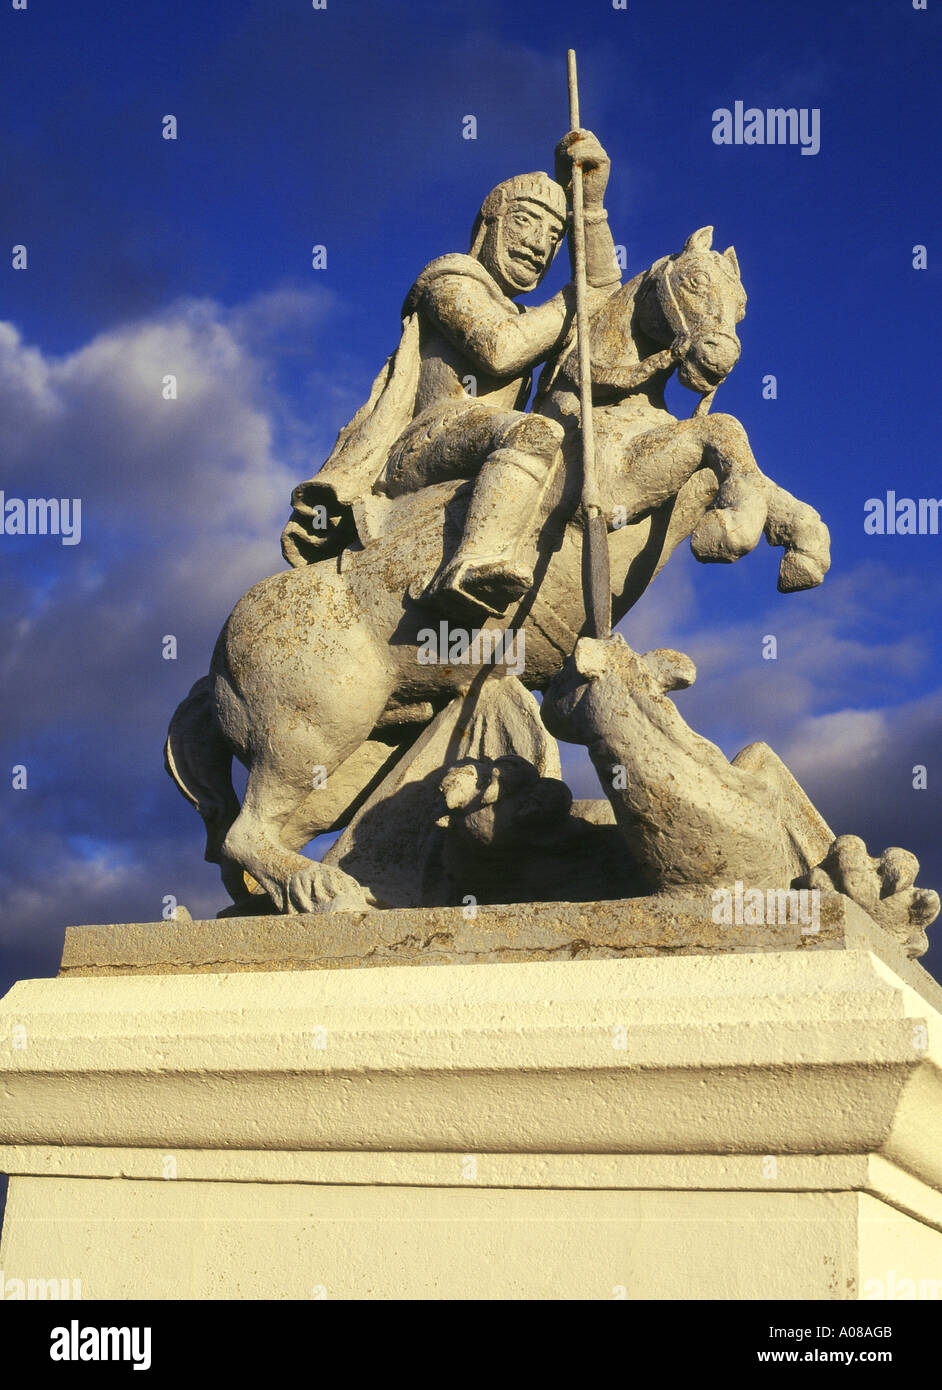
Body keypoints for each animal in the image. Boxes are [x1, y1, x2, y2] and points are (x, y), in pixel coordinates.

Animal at [169, 226, 833, 911]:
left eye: (742, 303)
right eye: (695, 283)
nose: (719, 359)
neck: (605, 402)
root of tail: (216, 663)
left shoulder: (686, 482)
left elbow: (756, 473)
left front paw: (803, 550)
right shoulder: (624, 485)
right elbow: (724, 430)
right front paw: (731, 532)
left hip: (351, 759)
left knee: (256, 845)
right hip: (310, 736)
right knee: (245, 833)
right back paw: (326, 889)